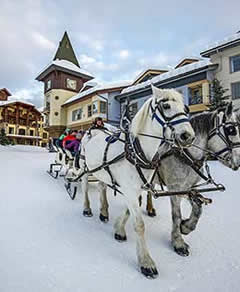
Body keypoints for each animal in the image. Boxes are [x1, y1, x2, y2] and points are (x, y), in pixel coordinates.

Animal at [78, 85, 194, 278]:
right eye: (166, 106)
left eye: (186, 109)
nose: (188, 136)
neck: (136, 151)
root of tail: (93, 130)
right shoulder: (130, 190)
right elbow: (139, 225)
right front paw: (146, 262)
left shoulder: (136, 189)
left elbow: (129, 210)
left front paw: (118, 228)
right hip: (85, 168)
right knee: (85, 186)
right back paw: (87, 208)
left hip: (102, 171)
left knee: (102, 187)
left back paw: (103, 211)